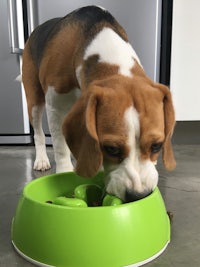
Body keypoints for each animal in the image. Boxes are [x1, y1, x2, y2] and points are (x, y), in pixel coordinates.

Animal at [21, 5, 175, 202]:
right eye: (111, 149)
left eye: (157, 146)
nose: (138, 195)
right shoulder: (55, 105)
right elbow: (60, 147)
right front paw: (64, 171)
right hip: (34, 99)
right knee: (39, 133)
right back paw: (41, 159)